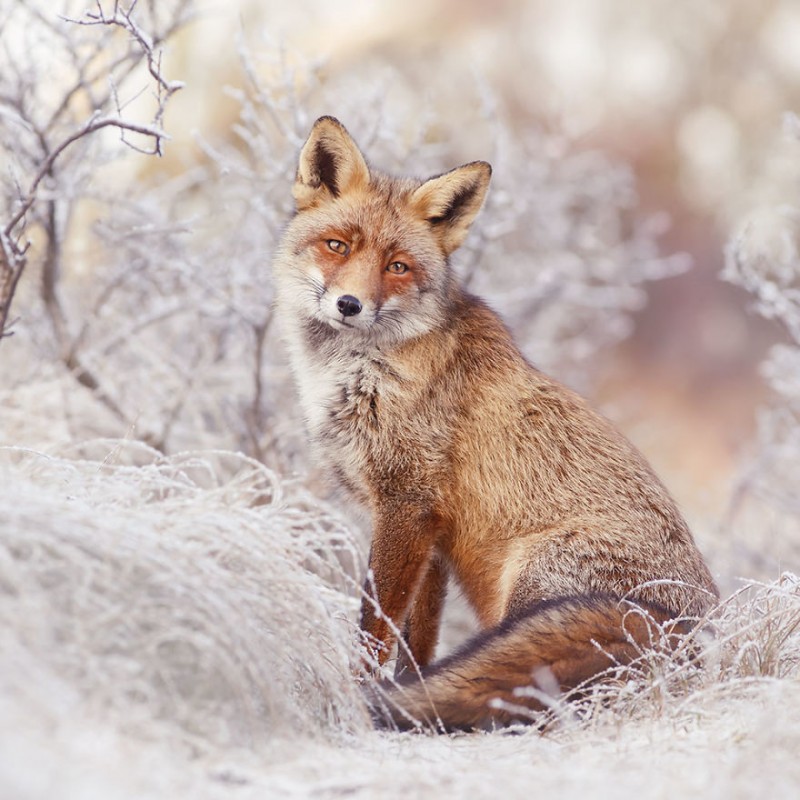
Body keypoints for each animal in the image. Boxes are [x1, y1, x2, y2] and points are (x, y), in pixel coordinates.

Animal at [276, 114, 720, 732]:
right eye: (337, 245)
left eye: (397, 266)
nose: (349, 305)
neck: (364, 374)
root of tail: (695, 637)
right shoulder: (431, 535)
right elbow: (417, 640)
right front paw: (410, 691)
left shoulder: (405, 505)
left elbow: (374, 630)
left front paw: (361, 696)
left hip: (532, 579)